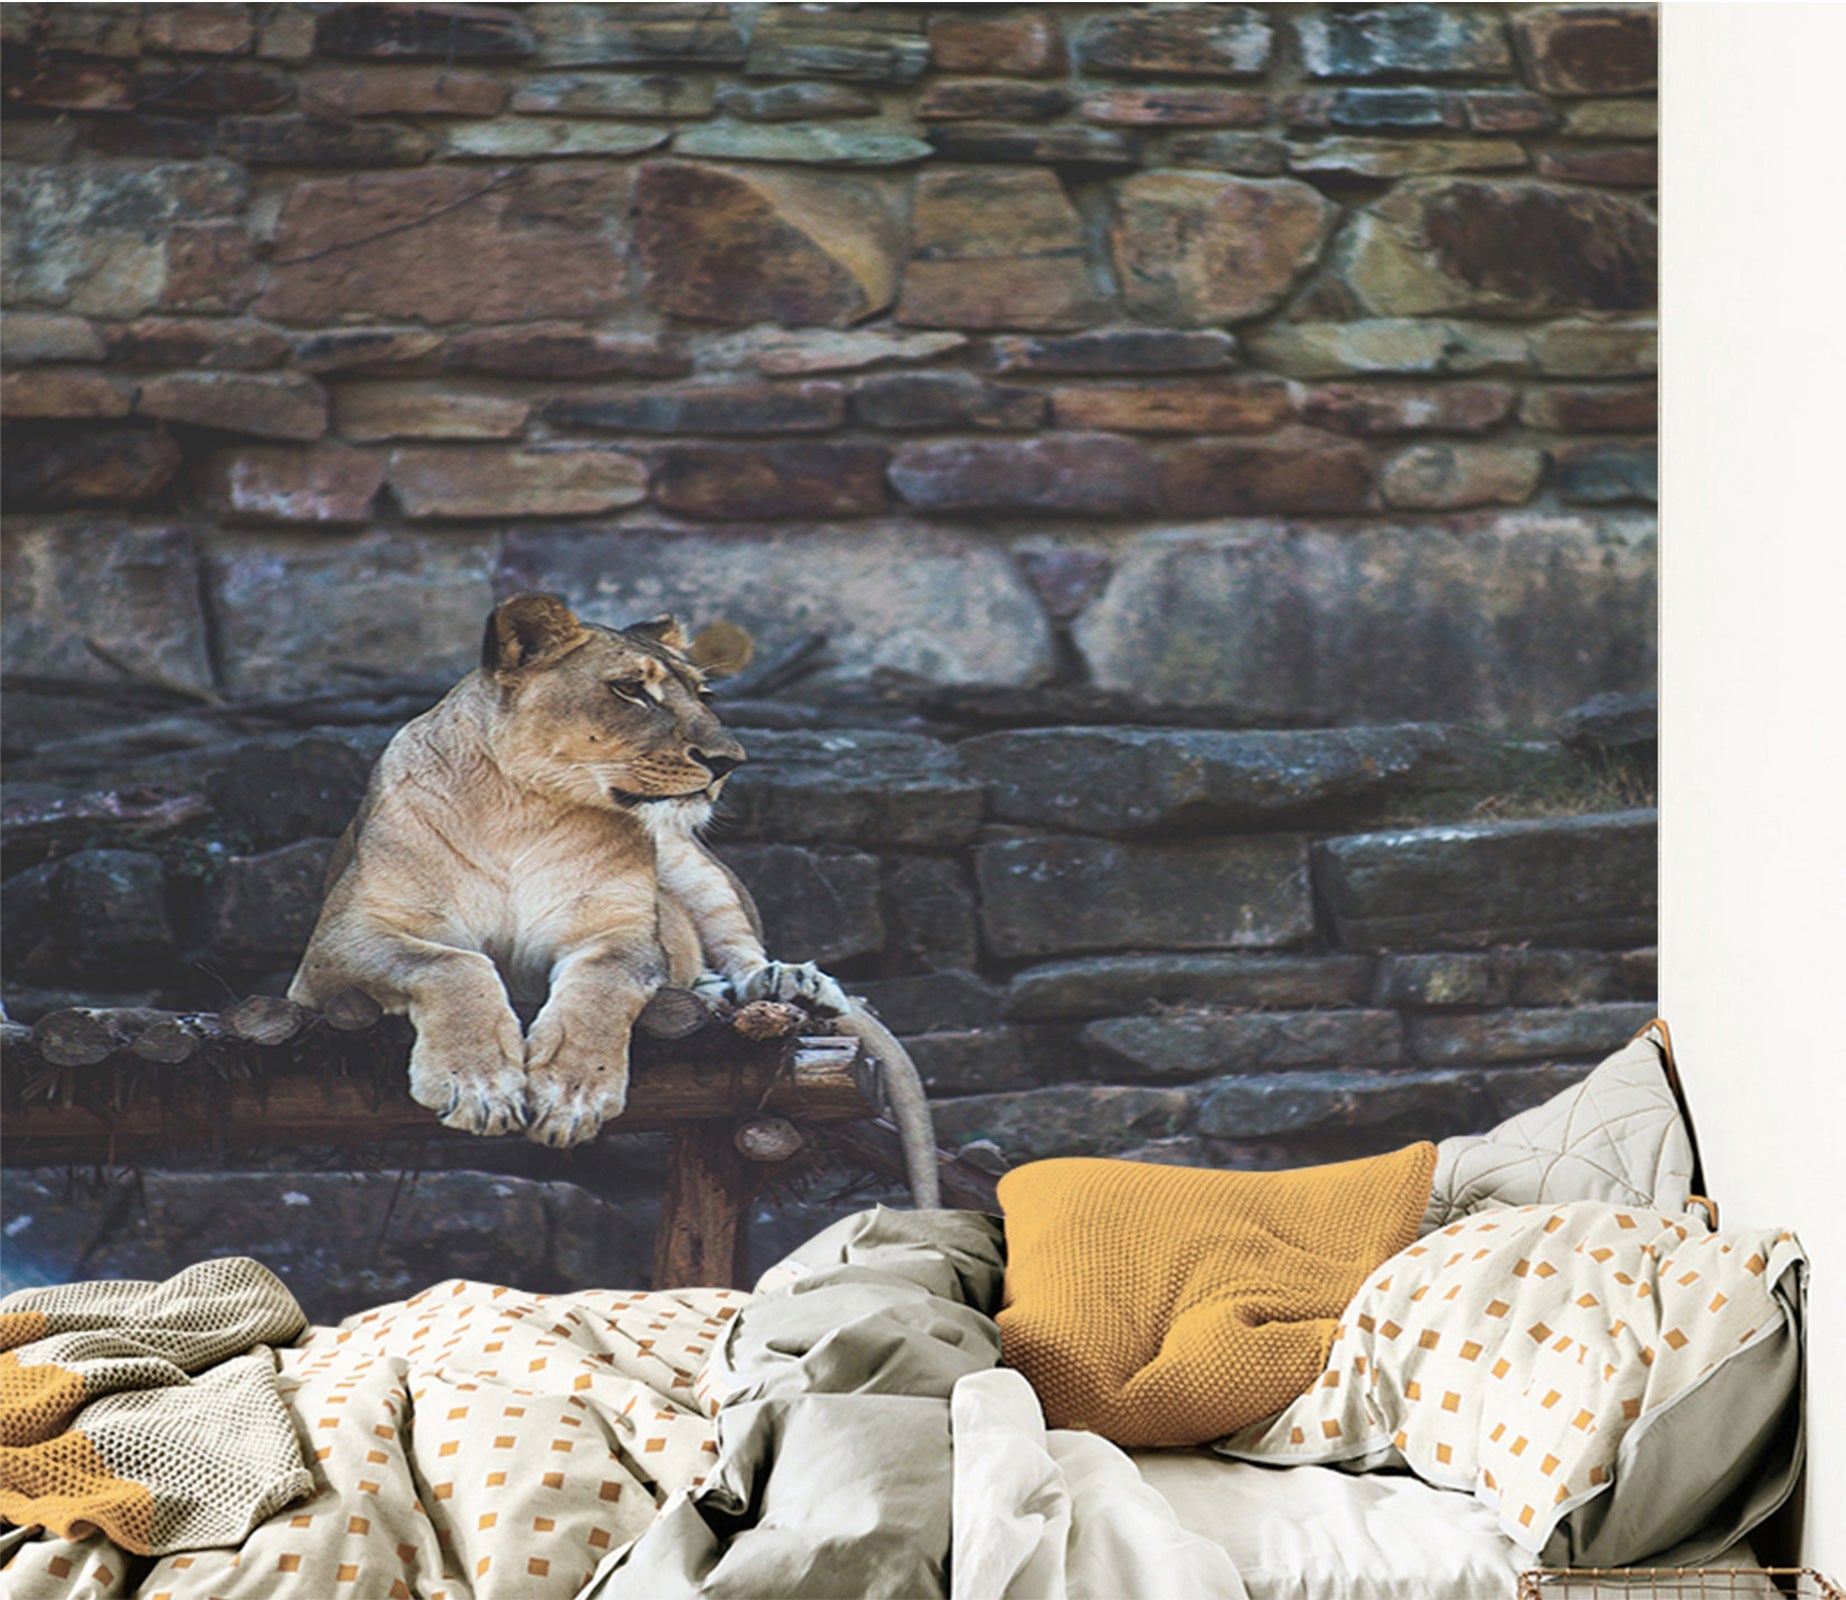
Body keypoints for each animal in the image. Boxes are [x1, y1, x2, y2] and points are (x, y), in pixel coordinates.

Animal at [288, 592, 940, 1208]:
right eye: (631, 690)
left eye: (704, 694)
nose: (729, 761)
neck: (520, 810)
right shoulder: (335, 944)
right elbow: (452, 963)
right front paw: (476, 1084)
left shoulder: (619, 932)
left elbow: (602, 988)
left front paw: (572, 1094)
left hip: (689, 863)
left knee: (743, 951)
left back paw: (787, 983)